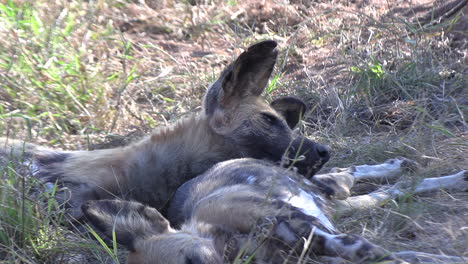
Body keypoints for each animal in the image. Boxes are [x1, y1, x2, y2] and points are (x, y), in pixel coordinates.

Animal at [84, 159, 468, 264]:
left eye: (194, 261)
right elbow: (404, 256)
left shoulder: (315, 232)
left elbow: (378, 254)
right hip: (336, 203)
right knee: (391, 192)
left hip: (323, 189)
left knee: (352, 173)